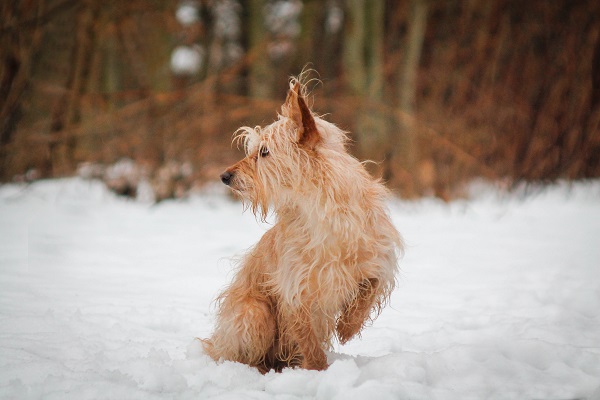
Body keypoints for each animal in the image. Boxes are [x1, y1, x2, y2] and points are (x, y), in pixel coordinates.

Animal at [202, 76, 404, 372]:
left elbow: (370, 287)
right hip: (254, 312)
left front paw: (348, 326)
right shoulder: (296, 290)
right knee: (245, 353)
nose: (224, 176)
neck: (321, 211)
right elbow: (308, 340)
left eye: (264, 152)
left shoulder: (375, 259)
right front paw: (318, 370)